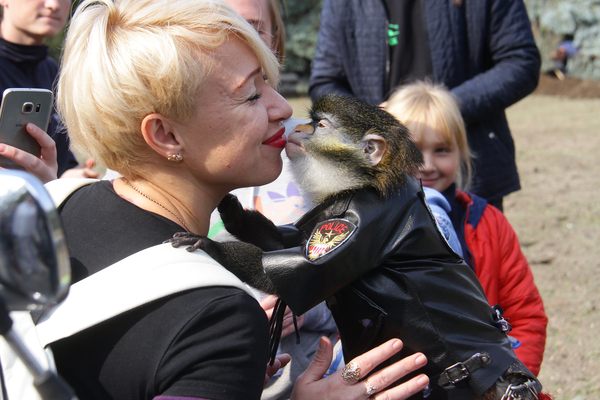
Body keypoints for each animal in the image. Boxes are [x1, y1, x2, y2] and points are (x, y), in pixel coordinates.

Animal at [169, 95, 544, 400]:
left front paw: (209, 246)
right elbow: (282, 241)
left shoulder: (362, 226)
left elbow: (288, 273)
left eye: (321, 125)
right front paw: (230, 211)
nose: (299, 129)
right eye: (311, 122)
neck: (364, 182)